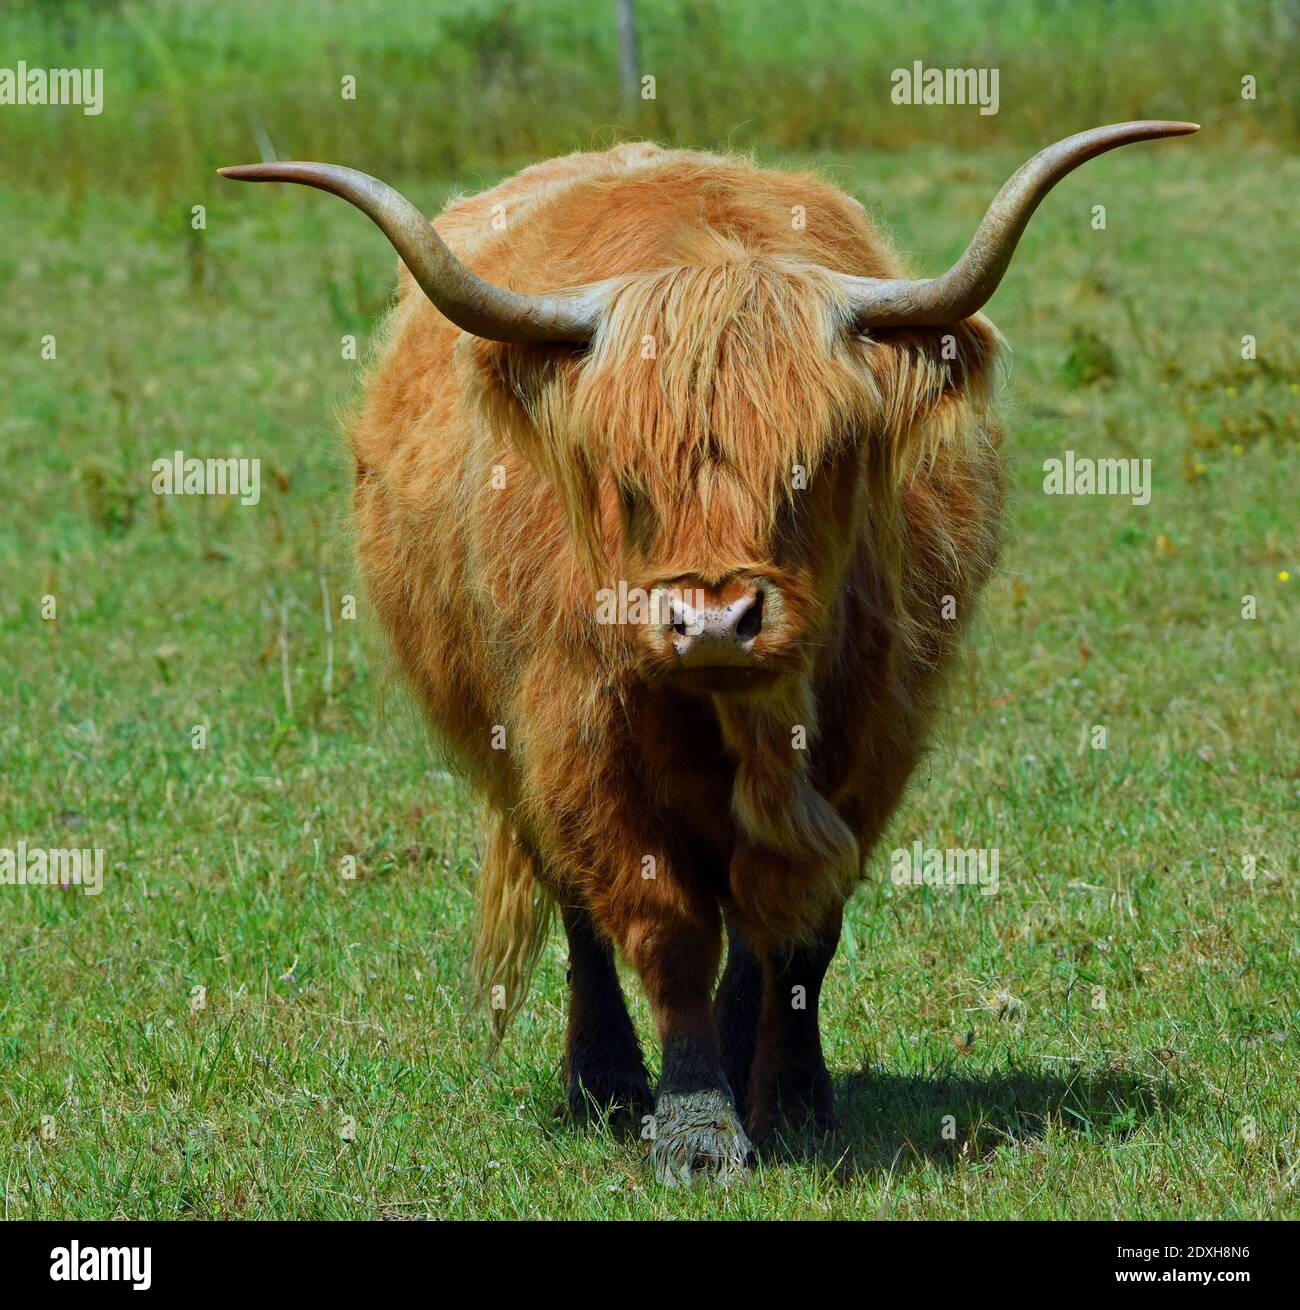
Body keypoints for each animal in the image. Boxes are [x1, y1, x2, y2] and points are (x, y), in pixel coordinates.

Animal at [221, 120, 1195, 1184]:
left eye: (817, 464)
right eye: (626, 474)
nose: (718, 621)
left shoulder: (872, 748)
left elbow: (801, 934)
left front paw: (794, 1095)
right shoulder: (581, 751)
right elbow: (669, 930)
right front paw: (697, 1125)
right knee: (583, 915)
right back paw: (602, 1080)